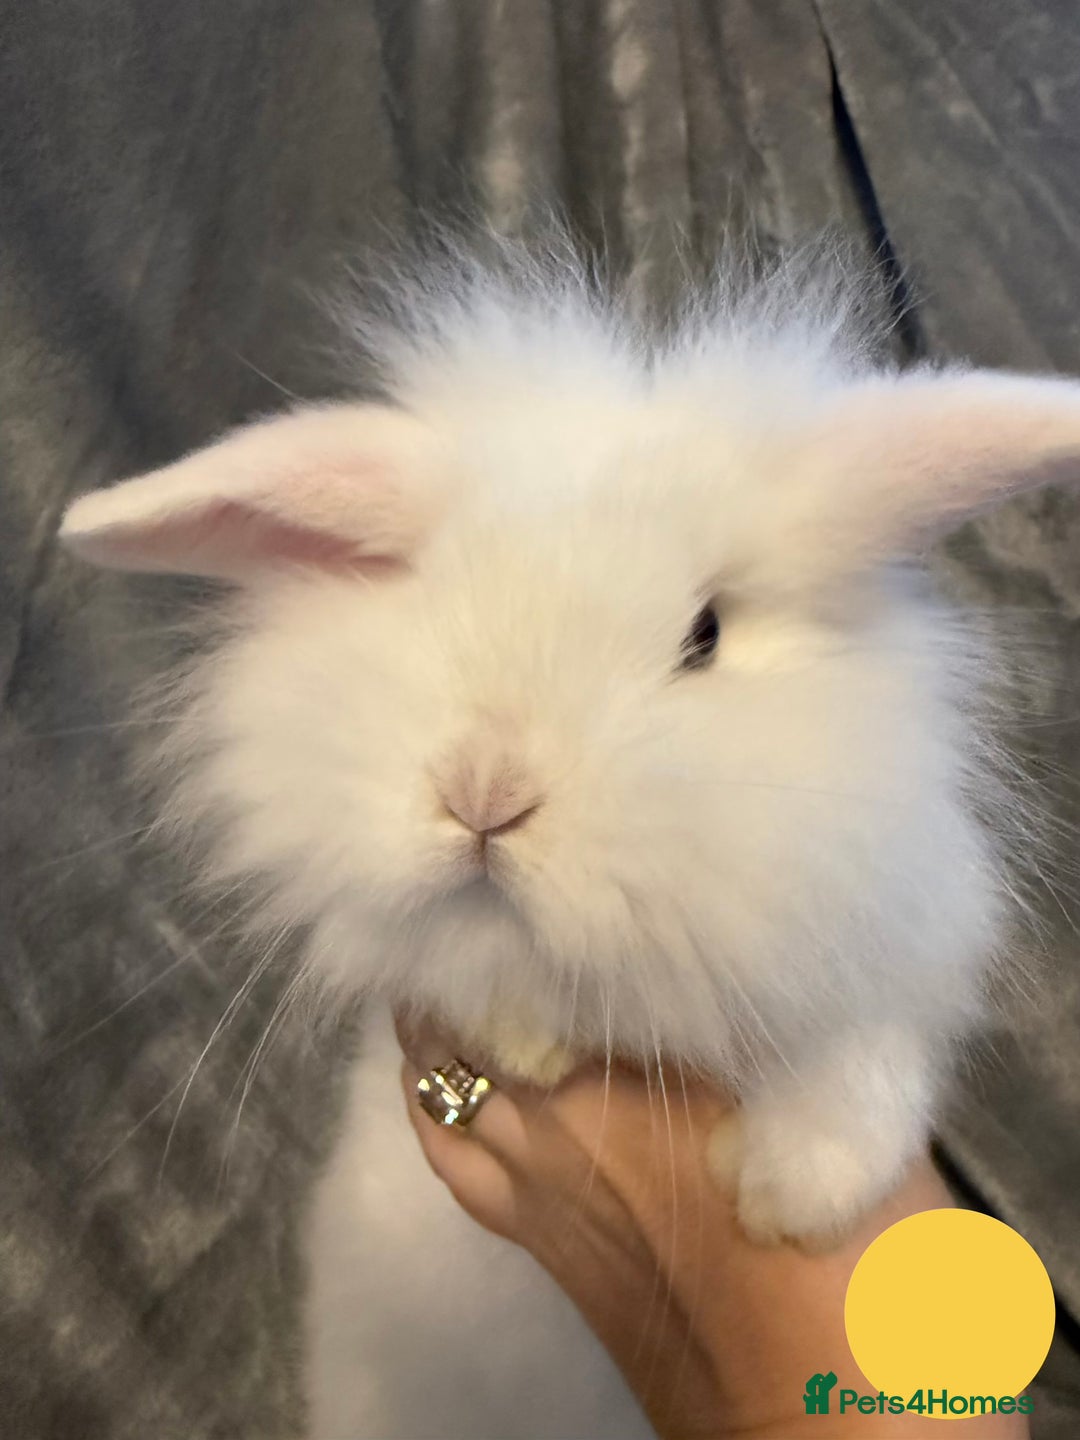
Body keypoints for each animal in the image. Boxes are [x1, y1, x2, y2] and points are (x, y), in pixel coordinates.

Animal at [58, 243, 1075, 1438]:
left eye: (704, 636)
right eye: (432, 593)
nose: (485, 793)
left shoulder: (900, 938)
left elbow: (866, 1063)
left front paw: (787, 1194)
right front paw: (530, 1035)